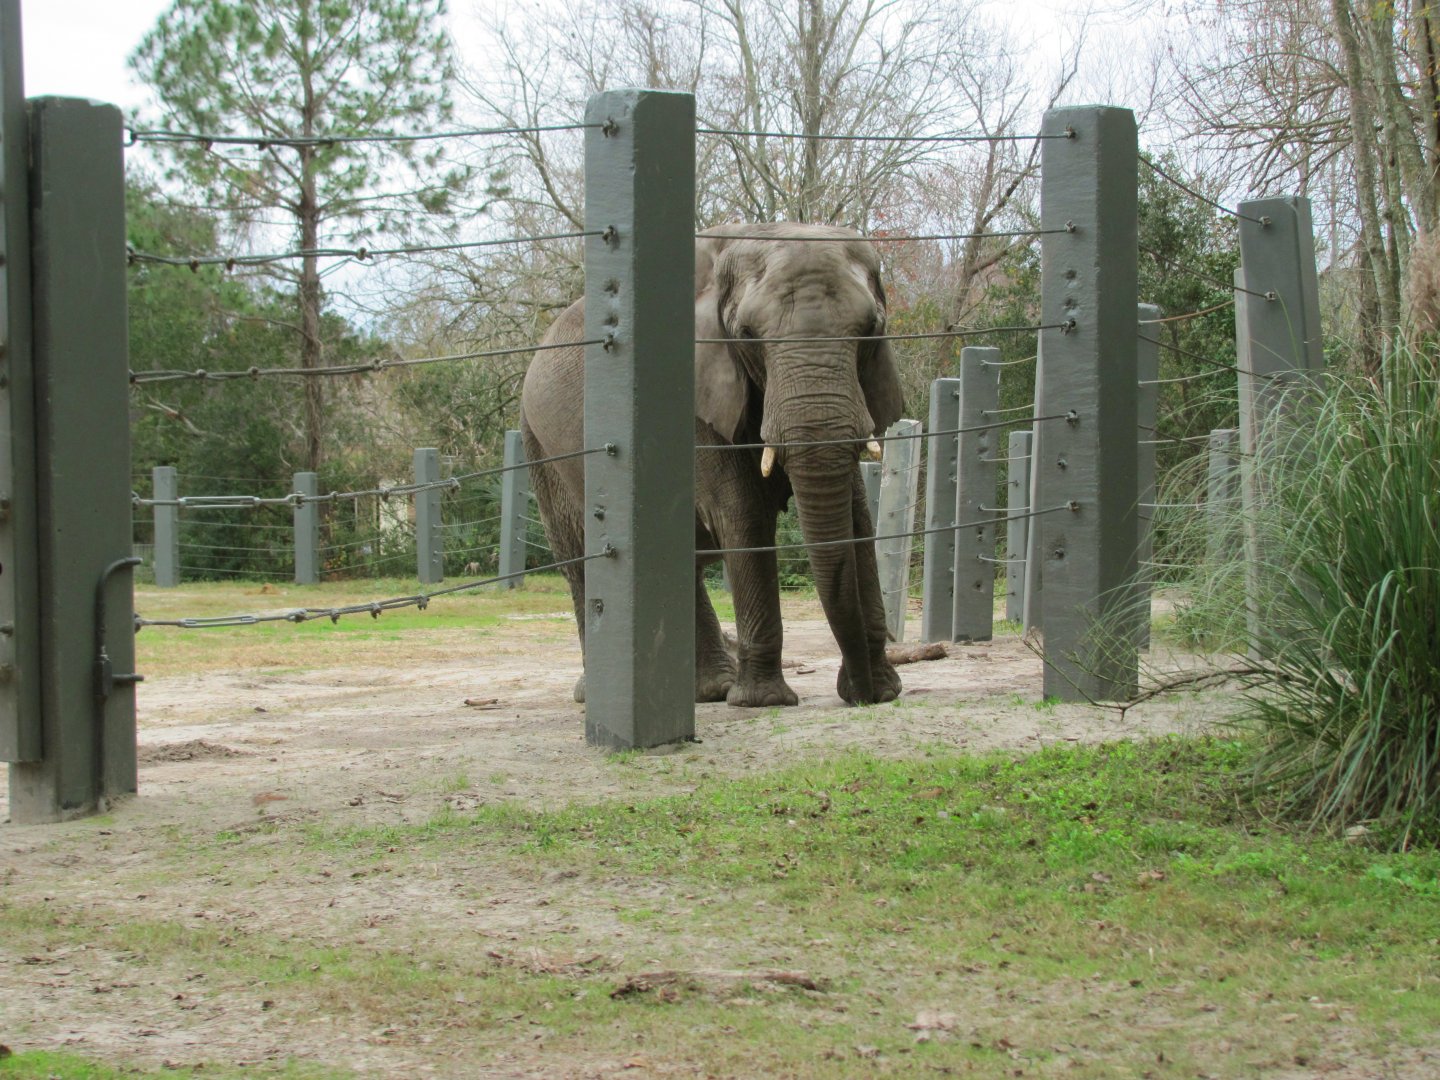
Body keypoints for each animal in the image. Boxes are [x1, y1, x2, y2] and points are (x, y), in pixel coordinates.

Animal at [520, 221, 905, 707]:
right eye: (746, 334)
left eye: (872, 329)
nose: (860, 695)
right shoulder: (694, 395)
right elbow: (743, 513)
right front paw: (764, 701)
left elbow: (856, 514)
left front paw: (886, 689)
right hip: (541, 447)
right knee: (581, 560)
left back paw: (709, 689)